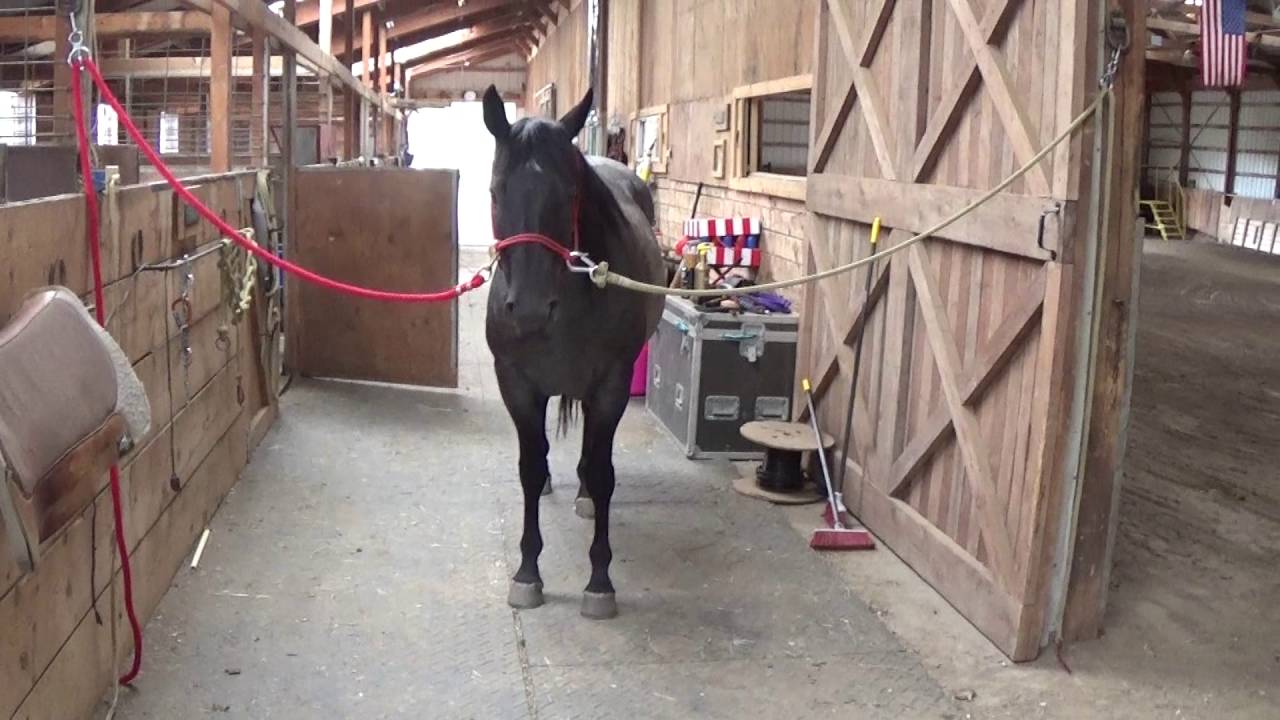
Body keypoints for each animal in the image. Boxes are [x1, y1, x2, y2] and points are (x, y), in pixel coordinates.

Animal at [481, 85, 664, 620]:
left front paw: (599, 581)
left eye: (568, 195)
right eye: (496, 191)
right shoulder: (517, 385)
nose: (529, 310)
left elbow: (602, 474)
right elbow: (529, 467)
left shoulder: (610, 386)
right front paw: (527, 573)